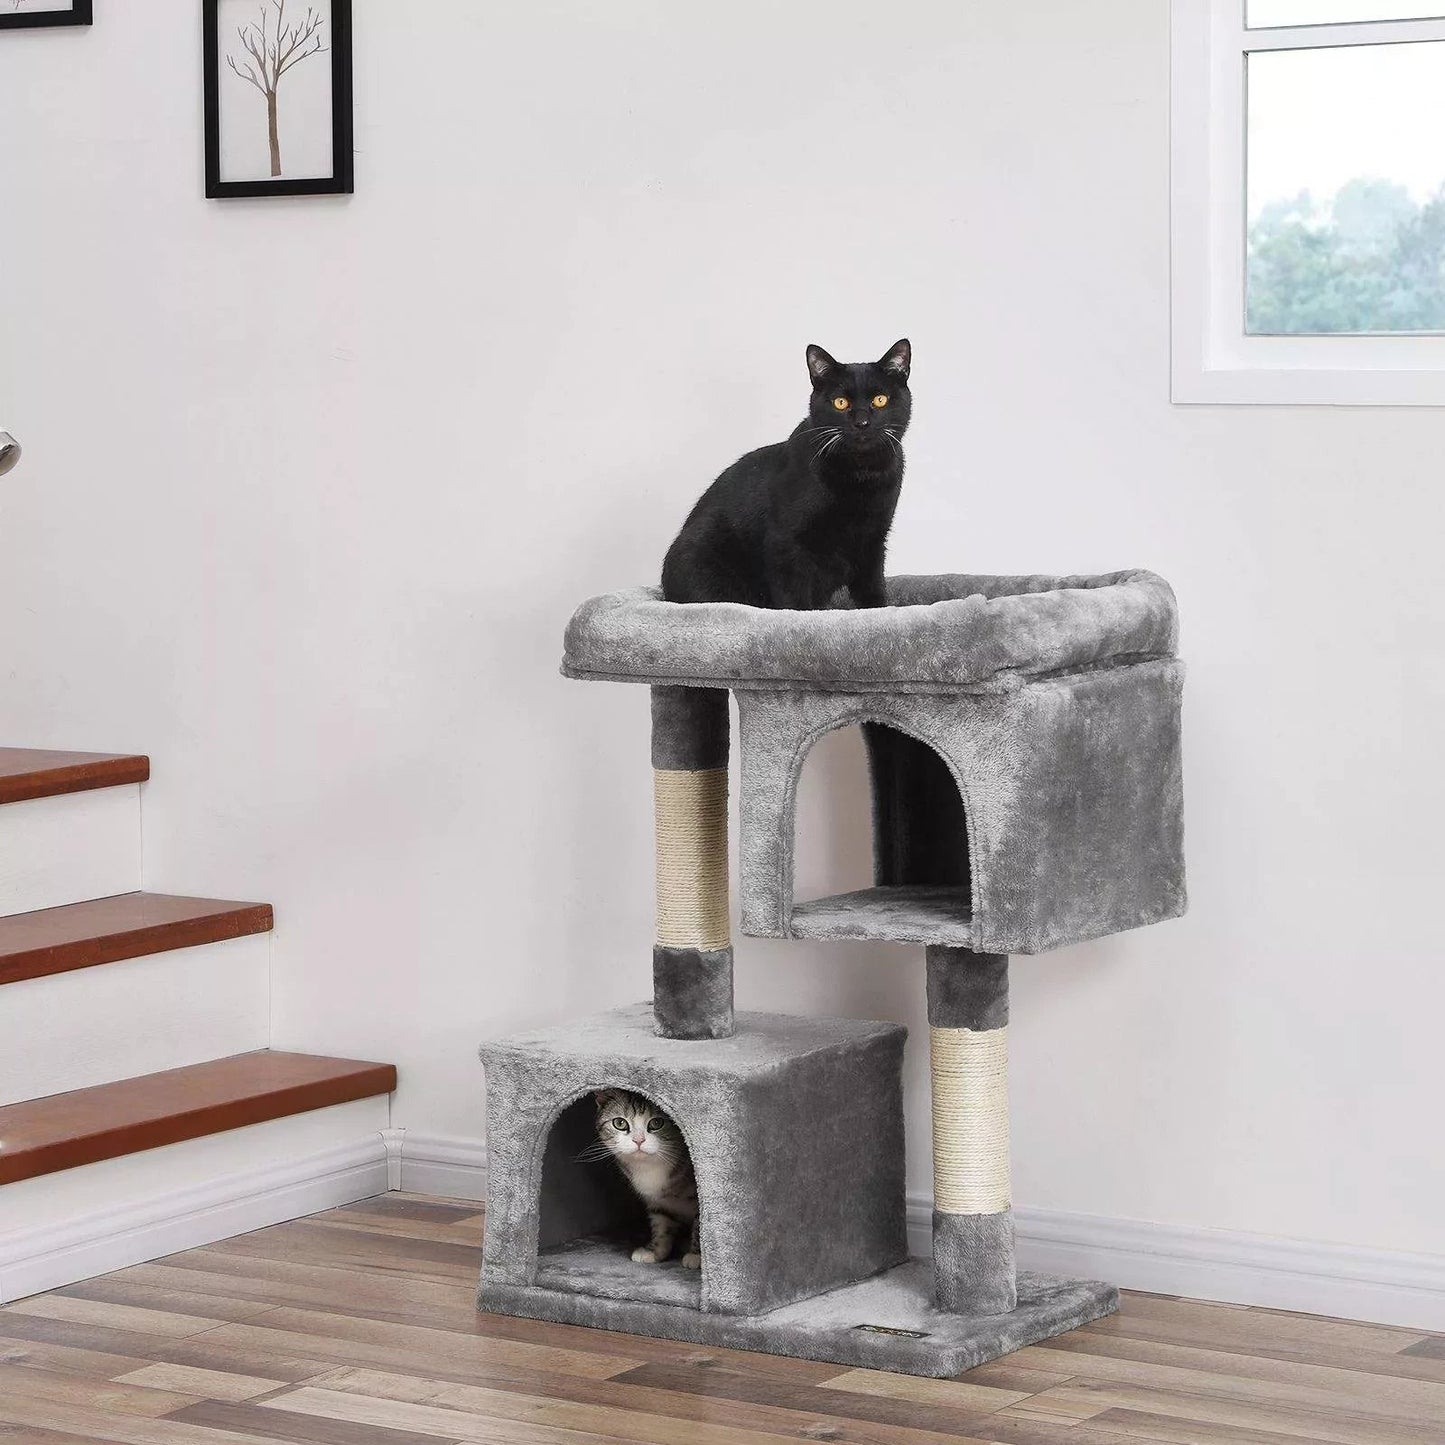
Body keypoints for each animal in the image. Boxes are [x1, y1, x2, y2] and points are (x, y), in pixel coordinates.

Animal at [592, 1089, 700, 1268]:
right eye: (620, 1123)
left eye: (656, 1123)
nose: (638, 1140)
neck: (649, 1167)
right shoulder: (657, 1202)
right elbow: (661, 1224)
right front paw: (654, 1251)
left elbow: (701, 1223)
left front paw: (696, 1256)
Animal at [661, 339, 912, 610]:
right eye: (840, 403)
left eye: (880, 399)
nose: (862, 423)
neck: (861, 474)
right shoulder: (786, 543)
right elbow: (794, 596)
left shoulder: (873, 541)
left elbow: (873, 589)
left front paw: (881, 610)